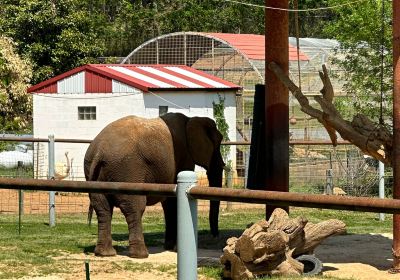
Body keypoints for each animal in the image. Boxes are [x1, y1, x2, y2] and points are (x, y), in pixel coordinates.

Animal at [83, 111, 225, 258]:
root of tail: (99, 151)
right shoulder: (184, 157)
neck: (190, 119)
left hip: (94, 172)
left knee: (103, 208)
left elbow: (169, 202)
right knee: (135, 207)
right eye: (218, 142)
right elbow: (173, 201)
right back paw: (140, 255)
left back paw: (105, 253)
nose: (215, 235)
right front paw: (175, 249)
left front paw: (170, 247)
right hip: (127, 169)